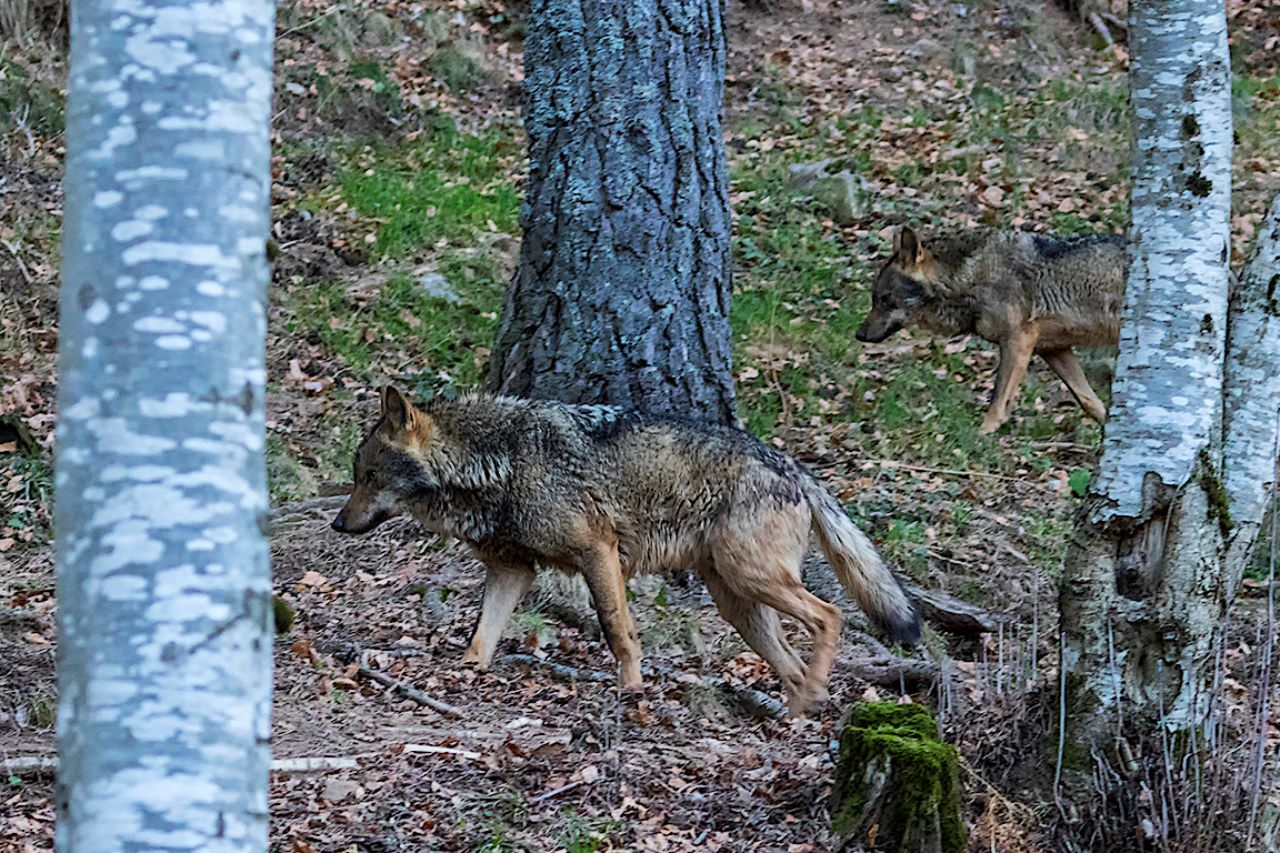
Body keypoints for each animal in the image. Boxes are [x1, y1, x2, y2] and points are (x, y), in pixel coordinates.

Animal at [331, 387, 921, 714]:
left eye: (369, 477)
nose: (338, 522)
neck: (499, 463)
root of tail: (794, 466)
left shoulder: (599, 552)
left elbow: (619, 631)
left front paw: (632, 691)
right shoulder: (513, 572)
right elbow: (481, 637)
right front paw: (463, 675)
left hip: (752, 580)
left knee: (830, 615)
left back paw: (812, 696)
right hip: (737, 603)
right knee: (793, 663)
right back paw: (797, 713)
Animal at [855, 226, 1125, 434]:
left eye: (885, 300)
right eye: (874, 299)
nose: (859, 335)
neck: (971, 276)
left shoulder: (1019, 340)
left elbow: (997, 399)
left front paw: (983, 434)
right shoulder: (1052, 349)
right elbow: (1089, 401)